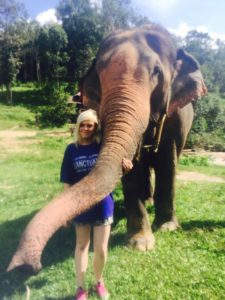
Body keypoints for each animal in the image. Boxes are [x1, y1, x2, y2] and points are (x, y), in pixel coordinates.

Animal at [7, 25, 207, 274]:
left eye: (156, 72)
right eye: (100, 76)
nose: (27, 265)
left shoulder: (177, 117)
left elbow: (166, 163)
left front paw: (166, 228)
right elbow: (133, 171)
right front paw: (139, 243)